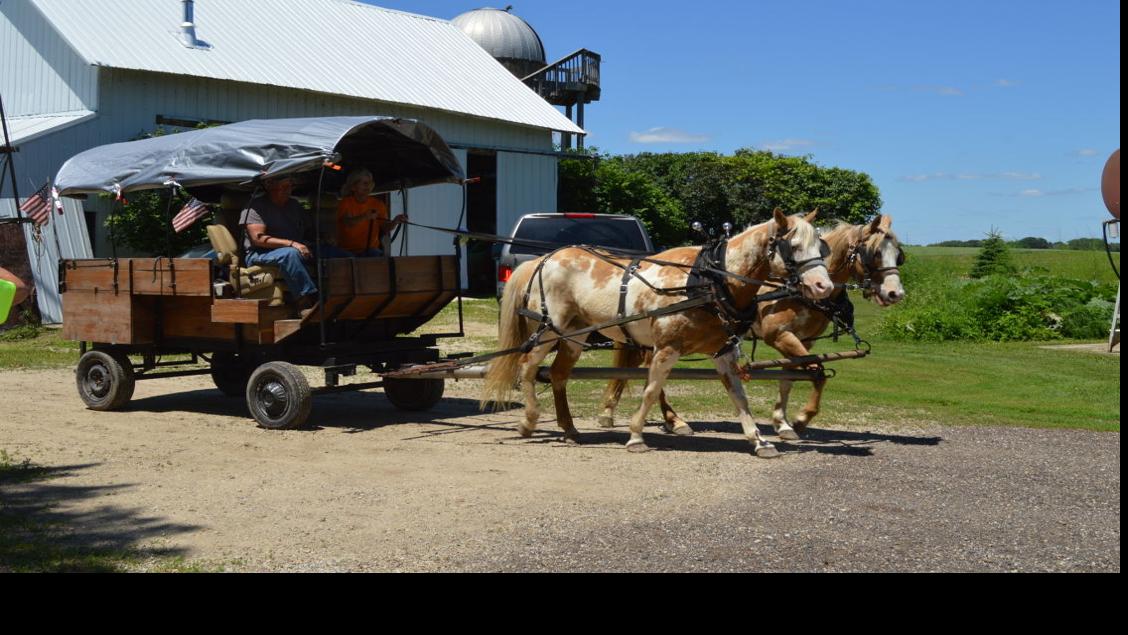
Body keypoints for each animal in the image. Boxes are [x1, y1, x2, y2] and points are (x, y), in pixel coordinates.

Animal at [482, 209, 834, 458]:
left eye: (822, 247)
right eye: (794, 246)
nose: (824, 286)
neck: (707, 280)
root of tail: (543, 259)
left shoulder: (722, 351)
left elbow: (739, 396)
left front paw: (760, 440)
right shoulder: (666, 347)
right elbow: (651, 390)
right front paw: (636, 435)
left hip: (574, 335)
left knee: (557, 375)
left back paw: (569, 429)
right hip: (547, 331)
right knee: (527, 367)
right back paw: (528, 420)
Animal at [596, 214, 906, 440]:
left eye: (899, 254)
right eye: (874, 252)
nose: (895, 293)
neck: (792, 289)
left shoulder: (803, 340)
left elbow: (790, 378)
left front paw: (782, 423)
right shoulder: (779, 335)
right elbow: (817, 372)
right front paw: (800, 419)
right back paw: (671, 419)